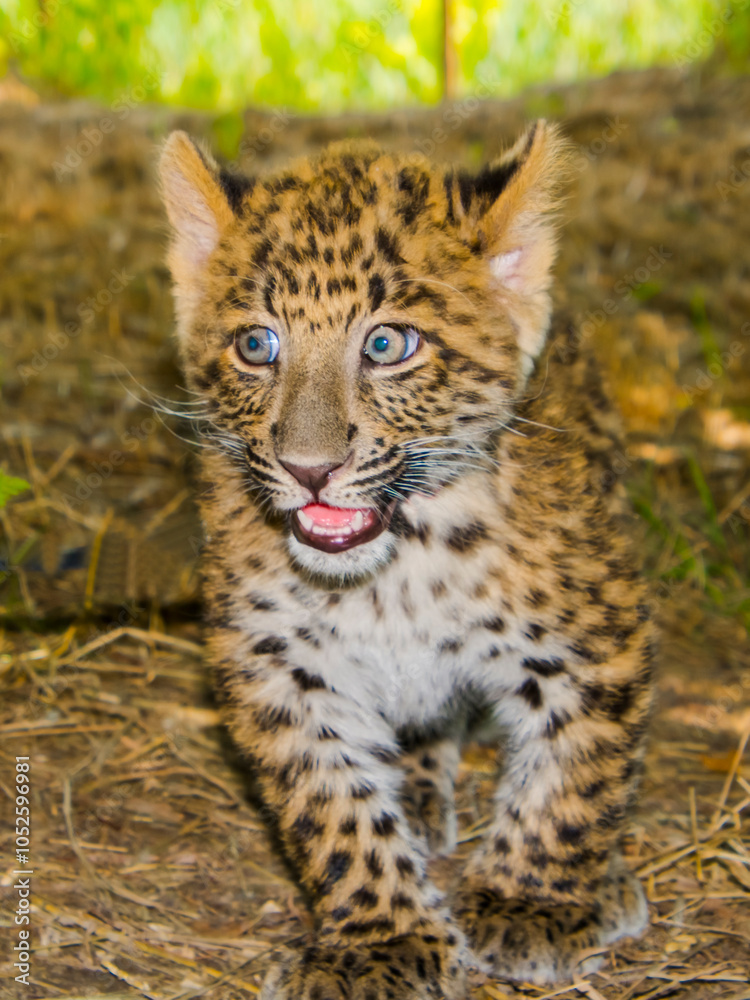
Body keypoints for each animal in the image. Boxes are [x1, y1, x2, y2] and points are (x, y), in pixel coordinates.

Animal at [158, 120, 654, 998]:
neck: (395, 574)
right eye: (257, 344)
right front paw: (380, 940)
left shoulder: (598, 640)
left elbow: (574, 776)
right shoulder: (277, 666)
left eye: (388, 344)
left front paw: (532, 903)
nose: (309, 468)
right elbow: (333, 809)